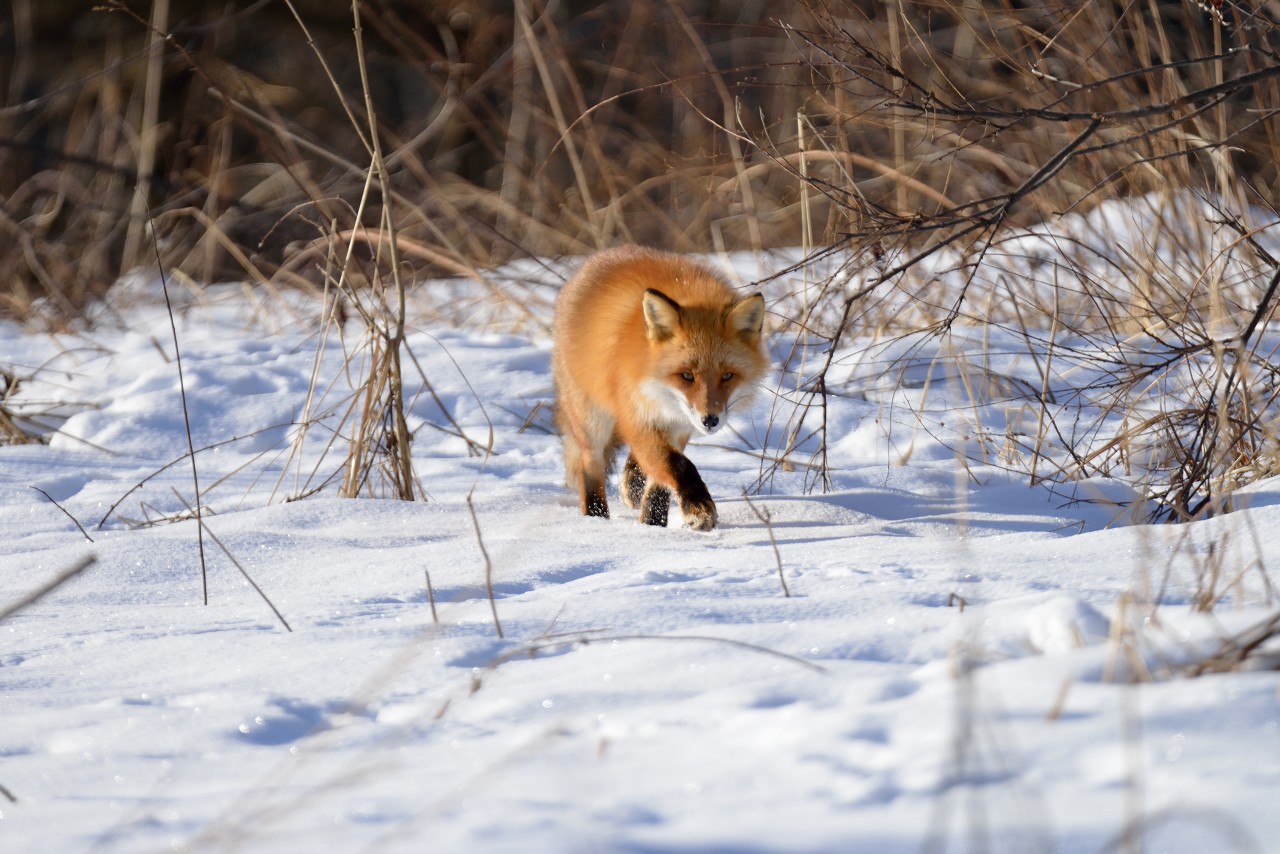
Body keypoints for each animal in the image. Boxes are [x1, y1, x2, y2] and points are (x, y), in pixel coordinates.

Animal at [552, 243, 768, 530]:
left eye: (727, 376)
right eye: (686, 376)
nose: (710, 420)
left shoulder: (679, 425)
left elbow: (660, 482)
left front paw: (653, 523)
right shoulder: (639, 417)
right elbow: (679, 465)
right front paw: (699, 506)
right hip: (592, 418)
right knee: (590, 464)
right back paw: (596, 517)